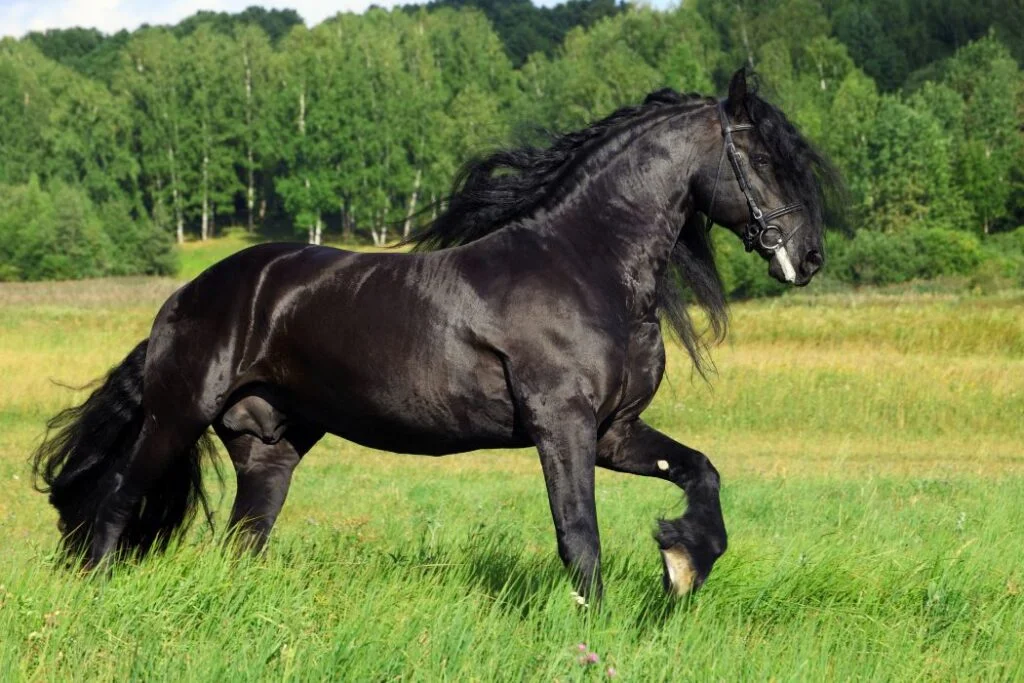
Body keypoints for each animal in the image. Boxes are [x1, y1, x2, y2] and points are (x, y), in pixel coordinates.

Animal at [32, 68, 841, 604]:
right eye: (761, 158)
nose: (809, 257)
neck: (585, 264)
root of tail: (185, 297)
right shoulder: (563, 425)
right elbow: (579, 537)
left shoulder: (615, 430)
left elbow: (701, 472)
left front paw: (683, 565)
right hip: (177, 415)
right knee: (115, 501)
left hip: (270, 446)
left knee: (243, 539)